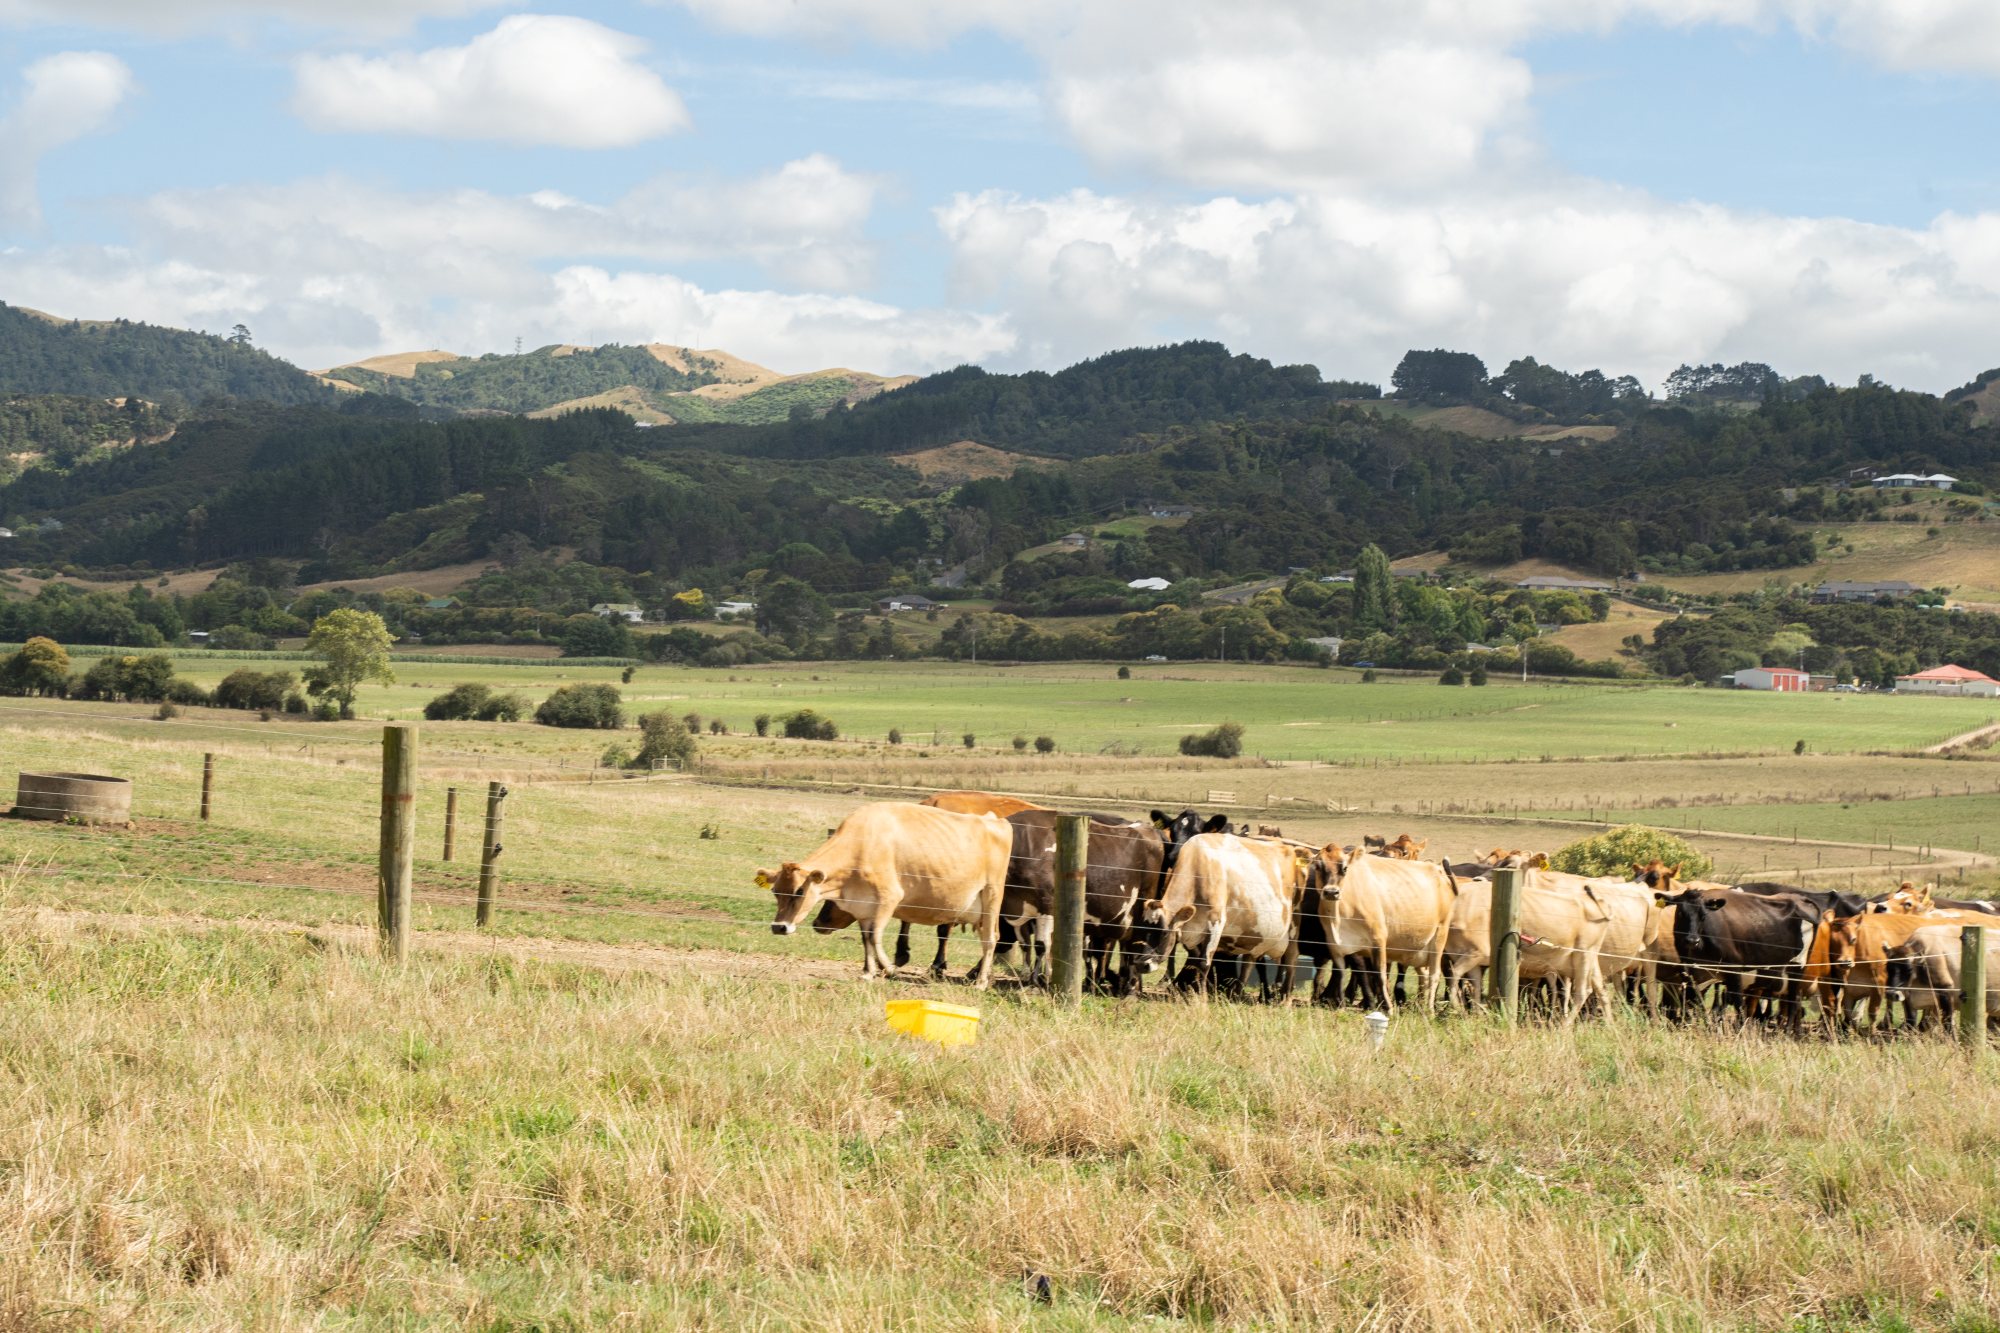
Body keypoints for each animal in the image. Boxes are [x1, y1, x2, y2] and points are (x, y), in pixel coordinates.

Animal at [758, 802, 1012, 987]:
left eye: (800, 891)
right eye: (775, 891)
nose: (779, 927)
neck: (861, 845)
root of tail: (995, 820)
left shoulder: (889, 899)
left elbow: (875, 936)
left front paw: (887, 968)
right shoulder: (863, 908)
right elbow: (866, 939)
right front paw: (868, 972)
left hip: (992, 895)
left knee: (990, 938)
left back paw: (981, 982)